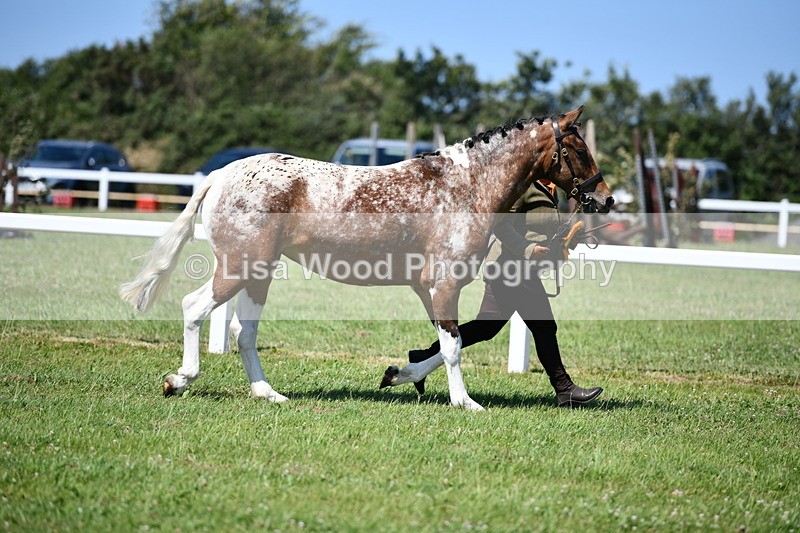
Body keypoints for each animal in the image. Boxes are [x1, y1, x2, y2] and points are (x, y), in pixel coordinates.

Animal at [120, 105, 613, 411]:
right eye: (578, 149)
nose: (606, 199)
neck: (466, 187)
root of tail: (220, 175)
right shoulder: (445, 284)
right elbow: (453, 347)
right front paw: (465, 402)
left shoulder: (428, 288)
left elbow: (445, 345)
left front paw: (401, 373)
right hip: (239, 267)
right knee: (194, 308)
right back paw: (179, 380)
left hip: (259, 274)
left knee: (244, 332)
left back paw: (268, 394)